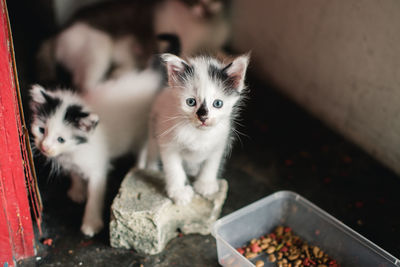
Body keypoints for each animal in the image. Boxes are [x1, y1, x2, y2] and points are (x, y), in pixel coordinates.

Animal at [139, 53, 248, 206]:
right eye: (190, 102)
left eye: (218, 103)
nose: (203, 117)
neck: (198, 134)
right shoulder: (168, 144)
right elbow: (174, 169)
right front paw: (179, 193)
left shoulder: (220, 142)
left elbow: (211, 163)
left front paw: (205, 184)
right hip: (154, 128)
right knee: (153, 152)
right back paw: (152, 168)